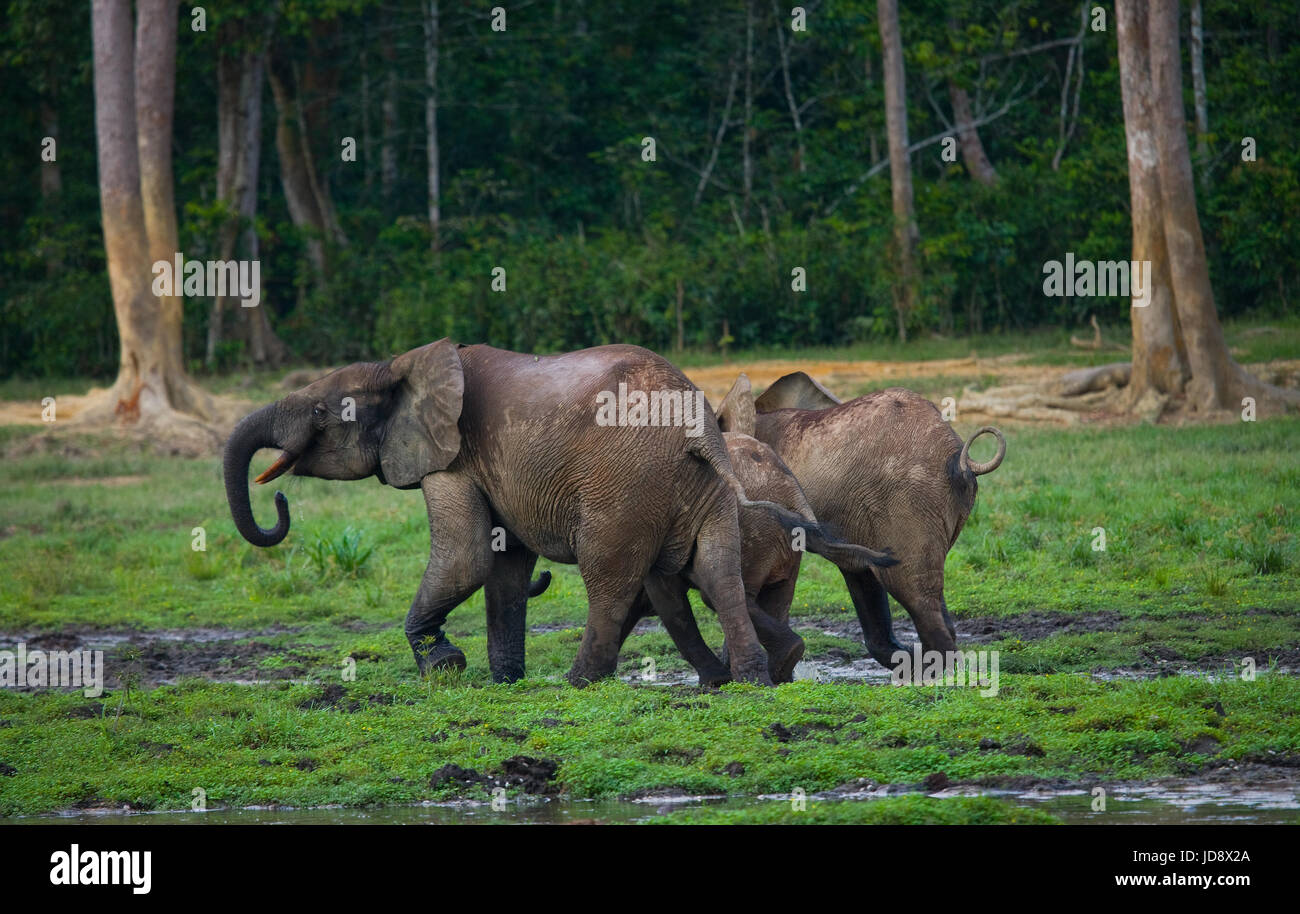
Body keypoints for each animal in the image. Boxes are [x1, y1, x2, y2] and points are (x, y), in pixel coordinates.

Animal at [223, 340, 809, 687]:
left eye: (322, 412)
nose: (278, 502)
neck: (401, 366)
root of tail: (700, 428)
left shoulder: (453, 458)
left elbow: (467, 558)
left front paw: (443, 667)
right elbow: (504, 567)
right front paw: (505, 679)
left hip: (622, 486)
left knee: (611, 578)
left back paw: (580, 681)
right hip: (698, 489)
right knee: (713, 571)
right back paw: (746, 680)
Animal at [607, 431, 898, 685]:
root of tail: (792, 490)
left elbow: (665, 597)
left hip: (751, 530)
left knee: (720, 594)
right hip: (782, 542)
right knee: (777, 596)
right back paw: (782, 671)